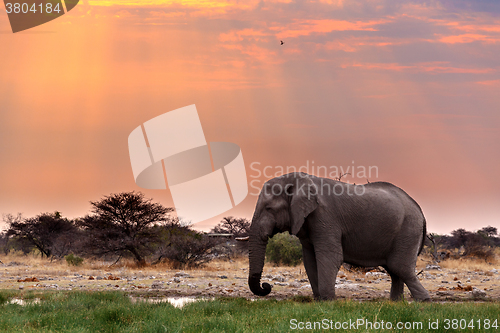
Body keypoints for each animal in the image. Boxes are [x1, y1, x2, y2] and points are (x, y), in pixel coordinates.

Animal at [248, 171, 432, 300]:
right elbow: (310, 260)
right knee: (395, 271)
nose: (266, 286)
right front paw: (319, 300)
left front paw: (328, 300)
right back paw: (395, 302)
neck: (297, 180)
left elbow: (331, 257)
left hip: (408, 229)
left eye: (269, 209)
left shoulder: (325, 217)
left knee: (400, 267)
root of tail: (421, 212)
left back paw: (424, 301)